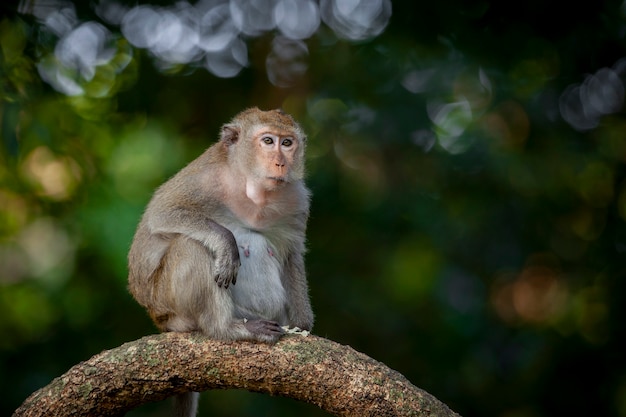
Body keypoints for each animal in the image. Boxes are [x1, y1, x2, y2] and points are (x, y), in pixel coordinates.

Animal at [126, 107, 312, 416]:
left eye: (287, 143)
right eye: (268, 141)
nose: (280, 163)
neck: (250, 188)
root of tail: (158, 317)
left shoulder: (296, 198)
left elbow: (291, 255)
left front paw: (303, 326)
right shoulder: (204, 179)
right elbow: (163, 213)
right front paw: (226, 244)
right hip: (167, 300)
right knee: (191, 246)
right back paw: (226, 328)